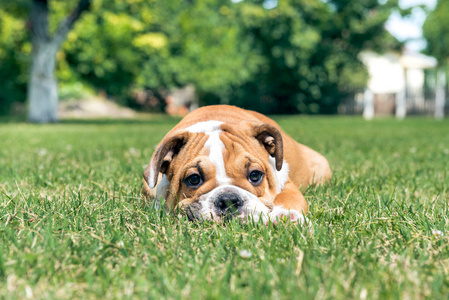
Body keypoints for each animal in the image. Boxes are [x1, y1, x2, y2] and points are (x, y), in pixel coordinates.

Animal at [142, 104, 330, 224]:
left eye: (255, 175)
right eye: (194, 179)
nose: (228, 200)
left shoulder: (288, 185)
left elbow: (287, 198)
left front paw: (285, 216)